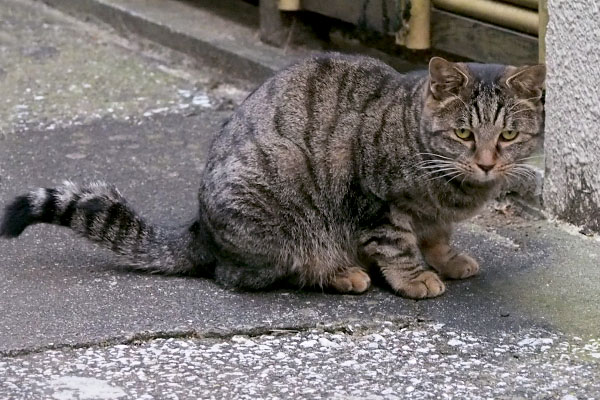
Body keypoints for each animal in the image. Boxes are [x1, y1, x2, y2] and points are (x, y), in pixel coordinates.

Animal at [0, 52, 544, 296]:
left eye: (508, 136)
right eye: (464, 133)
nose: (487, 161)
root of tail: (200, 228)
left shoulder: (436, 218)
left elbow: (438, 238)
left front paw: (449, 260)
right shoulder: (376, 202)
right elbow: (398, 246)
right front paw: (416, 278)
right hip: (280, 193)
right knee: (242, 273)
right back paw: (340, 272)